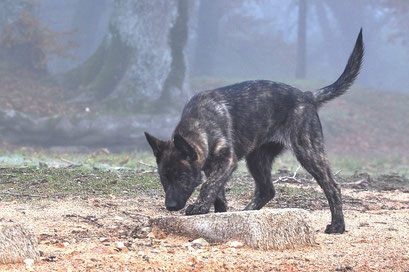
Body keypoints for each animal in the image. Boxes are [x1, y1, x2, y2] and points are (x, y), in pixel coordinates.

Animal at [145, 29, 362, 234]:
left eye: (182, 177)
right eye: (163, 178)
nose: (170, 206)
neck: (200, 123)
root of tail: (307, 96)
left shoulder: (227, 161)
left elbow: (209, 186)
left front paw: (199, 207)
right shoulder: (213, 166)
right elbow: (218, 191)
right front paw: (219, 214)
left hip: (308, 152)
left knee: (332, 187)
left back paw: (338, 226)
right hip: (257, 159)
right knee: (267, 190)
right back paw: (246, 212)